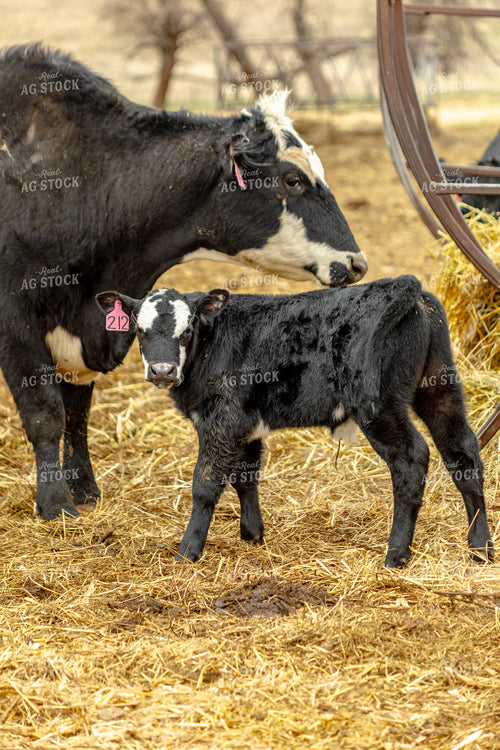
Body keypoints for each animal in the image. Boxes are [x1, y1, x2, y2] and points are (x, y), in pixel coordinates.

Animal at [0, 43, 366, 521]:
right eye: (292, 179)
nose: (357, 262)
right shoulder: (15, 319)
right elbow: (46, 414)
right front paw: (56, 504)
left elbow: (77, 413)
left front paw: (84, 488)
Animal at [96, 276, 494, 568]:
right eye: (140, 330)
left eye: (188, 329)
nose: (162, 370)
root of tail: (402, 286)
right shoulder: (246, 425)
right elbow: (246, 477)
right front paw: (253, 535)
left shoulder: (221, 421)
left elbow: (205, 484)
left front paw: (188, 552)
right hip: (440, 389)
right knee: (462, 454)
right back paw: (481, 548)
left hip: (379, 406)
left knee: (412, 459)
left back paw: (396, 554)